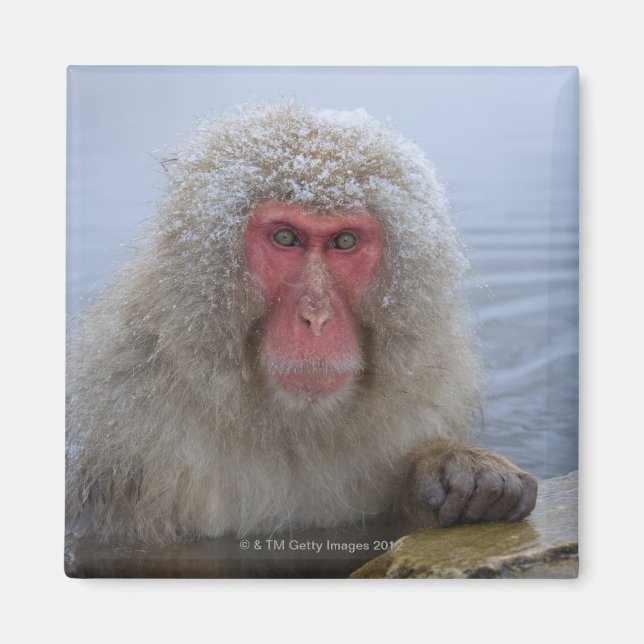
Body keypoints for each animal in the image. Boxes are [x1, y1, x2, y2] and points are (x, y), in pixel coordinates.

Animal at [66, 101, 538, 545]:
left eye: (343, 241)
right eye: (285, 238)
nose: (316, 316)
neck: (291, 428)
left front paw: (456, 469)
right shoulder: (115, 422)